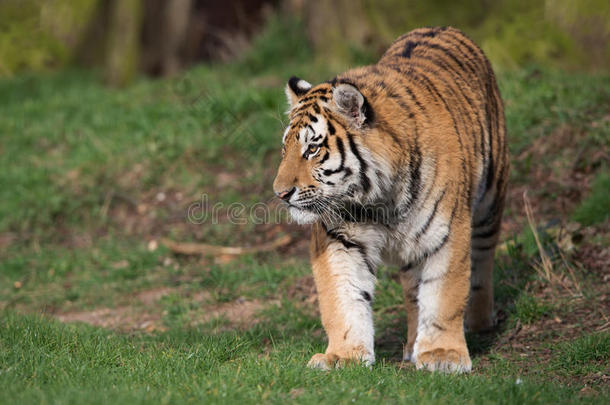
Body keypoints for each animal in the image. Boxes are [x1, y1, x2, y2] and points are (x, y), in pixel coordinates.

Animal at [274, 26, 506, 372]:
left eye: (312, 149)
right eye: (285, 149)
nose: (280, 193)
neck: (377, 199)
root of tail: (441, 27)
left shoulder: (448, 232)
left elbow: (444, 292)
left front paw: (443, 355)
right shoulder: (338, 238)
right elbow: (342, 297)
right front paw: (343, 355)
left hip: (491, 198)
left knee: (482, 258)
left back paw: (478, 322)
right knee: (412, 291)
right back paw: (412, 345)